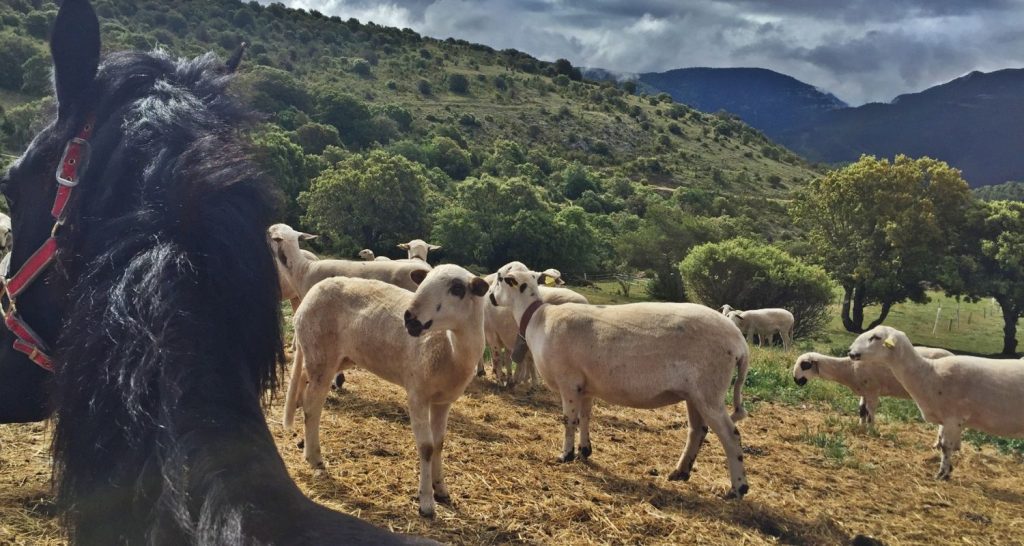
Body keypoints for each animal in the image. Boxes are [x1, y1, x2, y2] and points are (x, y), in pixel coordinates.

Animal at [283, 264, 489, 517]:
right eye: (424, 281)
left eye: (458, 289)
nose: (409, 317)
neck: (451, 349)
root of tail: (310, 295)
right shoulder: (417, 394)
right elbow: (427, 447)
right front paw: (426, 502)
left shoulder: (443, 401)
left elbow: (439, 443)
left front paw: (441, 489)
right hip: (321, 353)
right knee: (313, 406)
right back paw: (315, 458)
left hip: (334, 357)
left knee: (304, 383)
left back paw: (300, 425)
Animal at [490, 263, 752, 498]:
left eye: (500, 278)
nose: (491, 297)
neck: (538, 318)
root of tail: (740, 342)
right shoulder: (585, 386)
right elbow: (585, 418)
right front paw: (585, 451)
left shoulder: (568, 382)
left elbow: (569, 421)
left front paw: (566, 455)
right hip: (694, 394)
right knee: (698, 430)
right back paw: (680, 472)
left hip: (709, 390)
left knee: (730, 435)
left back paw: (737, 488)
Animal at [792, 346, 954, 425]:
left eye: (805, 365)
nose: (795, 380)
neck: (849, 369)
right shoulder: (864, 391)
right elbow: (862, 410)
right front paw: (861, 426)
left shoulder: (872, 390)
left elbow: (870, 412)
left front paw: (871, 430)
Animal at [848, 326, 1024, 480]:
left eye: (876, 337)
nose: (850, 352)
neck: (928, 374)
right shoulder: (944, 419)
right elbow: (941, 442)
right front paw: (947, 468)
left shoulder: (953, 418)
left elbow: (946, 446)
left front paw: (942, 474)